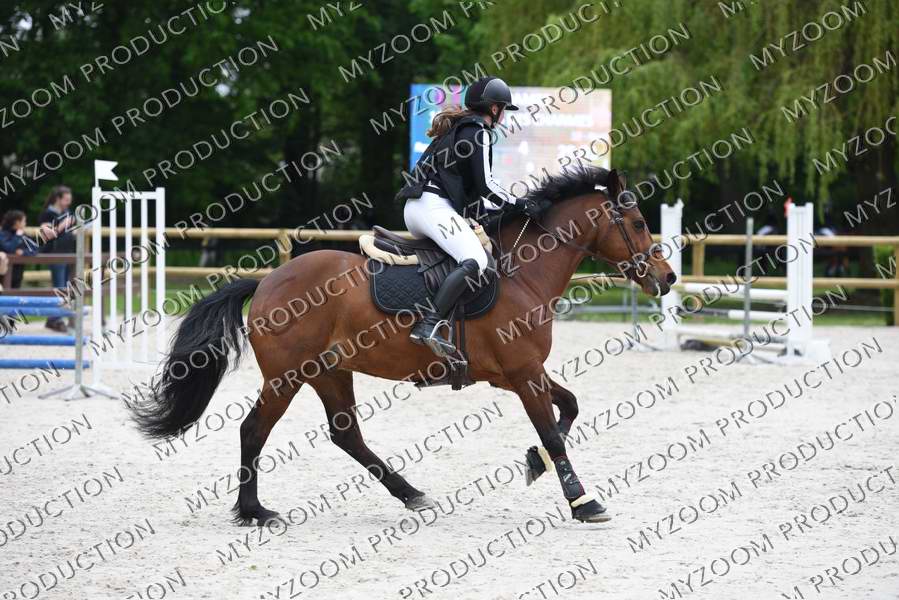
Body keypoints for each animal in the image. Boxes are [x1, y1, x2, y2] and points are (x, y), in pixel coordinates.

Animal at [133, 166, 676, 525]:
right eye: (639, 224)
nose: (668, 278)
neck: (524, 272)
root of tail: (267, 280)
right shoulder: (523, 375)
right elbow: (554, 432)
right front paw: (583, 501)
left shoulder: (522, 373)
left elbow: (570, 408)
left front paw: (533, 464)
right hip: (288, 377)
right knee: (253, 430)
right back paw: (255, 511)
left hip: (330, 372)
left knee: (346, 435)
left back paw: (412, 494)